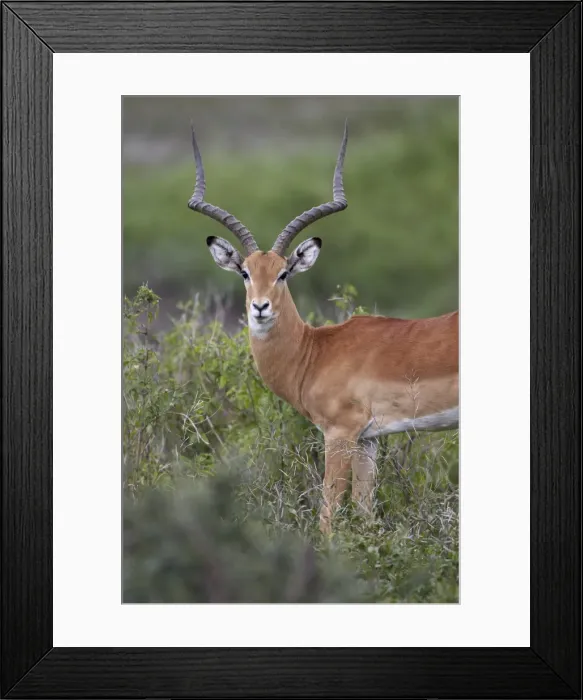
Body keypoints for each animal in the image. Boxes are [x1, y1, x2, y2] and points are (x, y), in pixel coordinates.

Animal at [188, 123, 459, 534]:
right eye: (245, 272)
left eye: (283, 273)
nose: (260, 307)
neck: (315, 352)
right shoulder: (368, 440)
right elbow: (365, 510)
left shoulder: (340, 433)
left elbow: (328, 514)